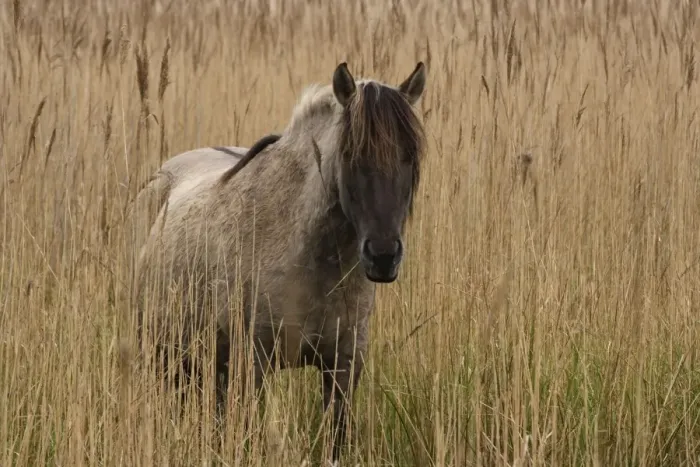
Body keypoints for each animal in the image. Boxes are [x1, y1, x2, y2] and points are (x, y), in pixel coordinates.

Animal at [131, 61, 427, 463]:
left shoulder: (344, 367)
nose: (383, 257)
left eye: (409, 156)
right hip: (166, 359)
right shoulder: (251, 368)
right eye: (351, 156)